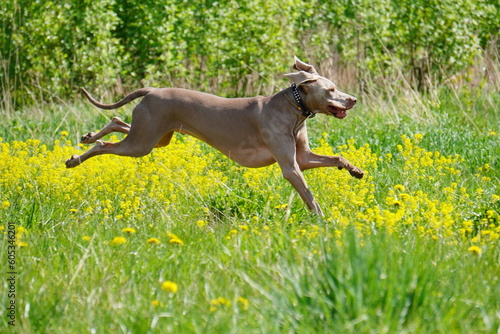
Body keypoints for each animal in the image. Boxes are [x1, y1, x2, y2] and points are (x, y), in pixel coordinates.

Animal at [66, 56, 364, 215]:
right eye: (331, 89)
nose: (354, 99)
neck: (294, 107)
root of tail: (151, 90)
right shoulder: (291, 167)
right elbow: (308, 194)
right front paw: (322, 220)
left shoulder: (302, 157)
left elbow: (336, 157)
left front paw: (355, 170)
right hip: (143, 143)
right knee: (107, 144)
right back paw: (74, 159)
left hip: (156, 136)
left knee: (117, 121)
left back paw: (89, 136)